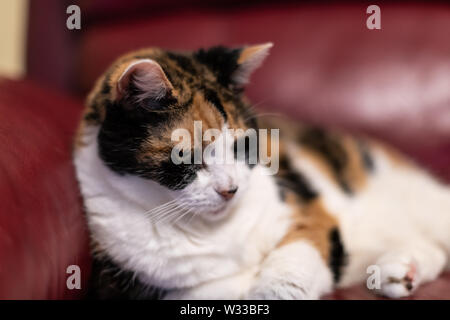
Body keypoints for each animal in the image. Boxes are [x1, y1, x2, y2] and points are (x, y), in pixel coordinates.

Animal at [74, 43, 450, 300]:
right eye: (185, 155)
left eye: (242, 146)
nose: (230, 189)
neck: (214, 230)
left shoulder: (305, 205)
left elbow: (295, 261)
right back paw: (400, 271)